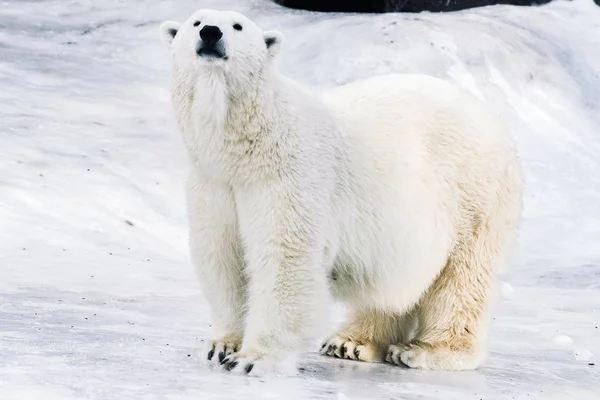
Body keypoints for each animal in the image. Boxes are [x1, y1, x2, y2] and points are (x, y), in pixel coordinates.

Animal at [157, 8, 524, 376]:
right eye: (195, 21)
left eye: (238, 25)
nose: (210, 32)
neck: (246, 147)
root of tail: (495, 121)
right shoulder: (214, 184)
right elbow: (223, 257)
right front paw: (222, 345)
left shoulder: (290, 176)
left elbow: (285, 259)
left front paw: (252, 359)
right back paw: (350, 343)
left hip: (473, 197)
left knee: (462, 277)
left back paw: (427, 351)